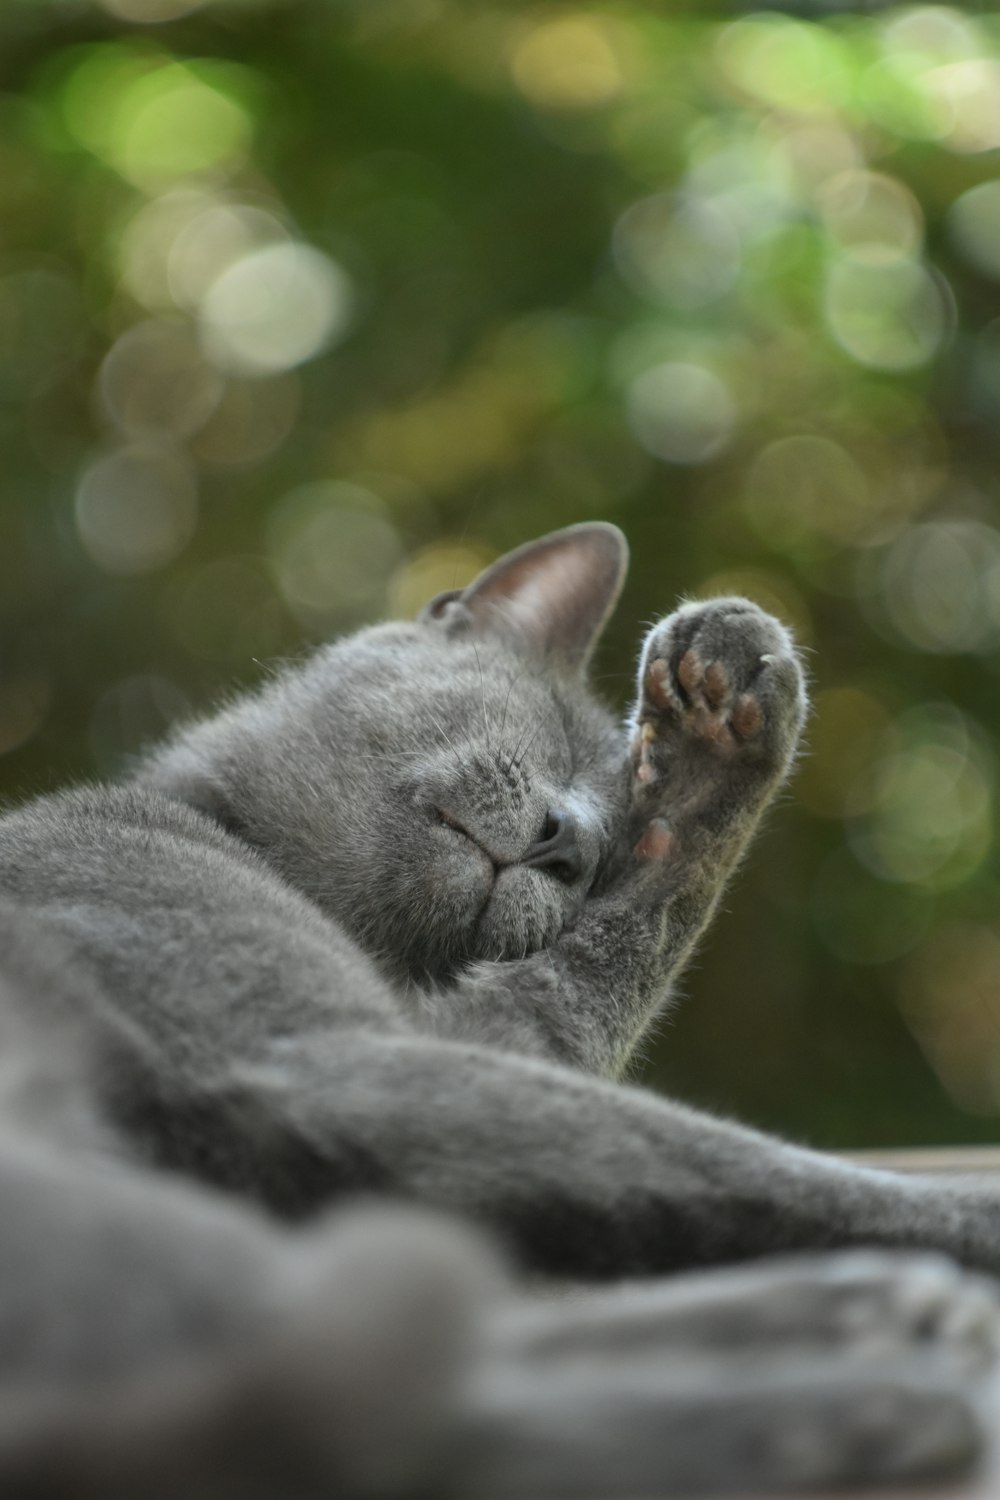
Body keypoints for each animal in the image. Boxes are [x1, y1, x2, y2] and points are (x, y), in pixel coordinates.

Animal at [1, 519, 1000, 1500]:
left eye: (608, 844)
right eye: (549, 734)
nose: (571, 842)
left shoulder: (448, 1035)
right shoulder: (324, 1051)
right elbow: (761, 1160)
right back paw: (868, 1361)